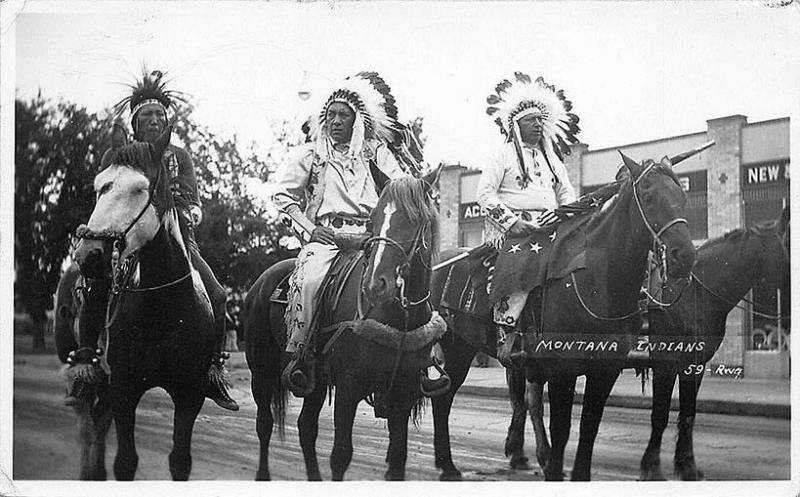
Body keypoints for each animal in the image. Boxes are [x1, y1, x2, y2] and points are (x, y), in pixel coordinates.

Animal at [71, 126, 214, 478]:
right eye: (99, 186)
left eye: (139, 189)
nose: (88, 255)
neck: (164, 309)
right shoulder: (124, 389)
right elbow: (125, 462)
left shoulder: (190, 394)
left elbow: (180, 461)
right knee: (88, 423)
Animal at [245, 172, 440, 478]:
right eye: (373, 218)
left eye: (415, 218)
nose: (375, 285)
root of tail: (260, 283)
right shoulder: (348, 388)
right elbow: (341, 455)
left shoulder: (403, 394)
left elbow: (398, 458)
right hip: (261, 372)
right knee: (264, 424)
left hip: (315, 382)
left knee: (305, 428)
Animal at [428, 153, 696, 478]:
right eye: (648, 196)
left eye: (682, 197)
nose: (685, 256)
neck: (597, 281)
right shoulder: (561, 370)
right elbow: (561, 428)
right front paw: (553, 468)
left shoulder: (605, 370)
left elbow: (589, 426)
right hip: (457, 349)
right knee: (445, 399)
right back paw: (450, 466)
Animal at [640, 204, 792, 476]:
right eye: (789, 244)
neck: (692, 294)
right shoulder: (665, 364)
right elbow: (660, 414)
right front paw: (651, 466)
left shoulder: (695, 364)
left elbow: (688, 414)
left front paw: (686, 464)